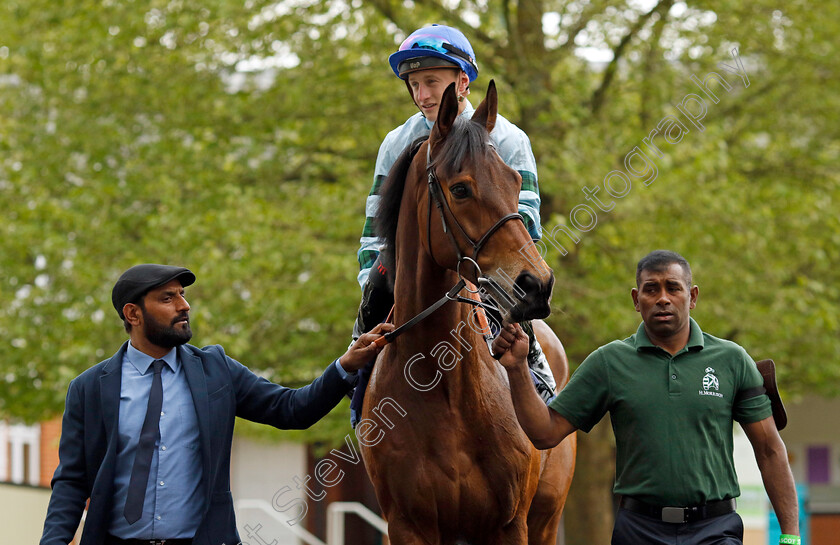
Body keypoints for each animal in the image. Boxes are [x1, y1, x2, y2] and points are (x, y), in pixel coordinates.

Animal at [360, 82, 576, 544]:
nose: (537, 284)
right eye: (460, 189)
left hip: (547, 518)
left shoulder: (509, 524)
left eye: (516, 180)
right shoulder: (407, 525)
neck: (445, 388)